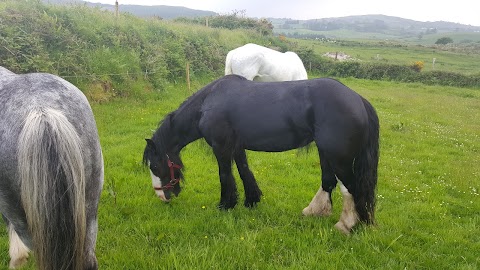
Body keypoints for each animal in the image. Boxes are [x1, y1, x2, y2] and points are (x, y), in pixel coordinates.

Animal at [142, 75, 378, 233]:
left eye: (155, 166)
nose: (162, 197)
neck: (208, 103)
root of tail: (358, 99)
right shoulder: (237, 146)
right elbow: (244, 171)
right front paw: (251, 200)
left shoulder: (221, 147)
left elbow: (225, 175)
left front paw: (225, 205)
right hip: (325, 152)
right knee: (329, 181)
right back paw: (315, 211)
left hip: (339, 158)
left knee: (351, 188)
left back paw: (346, 224)